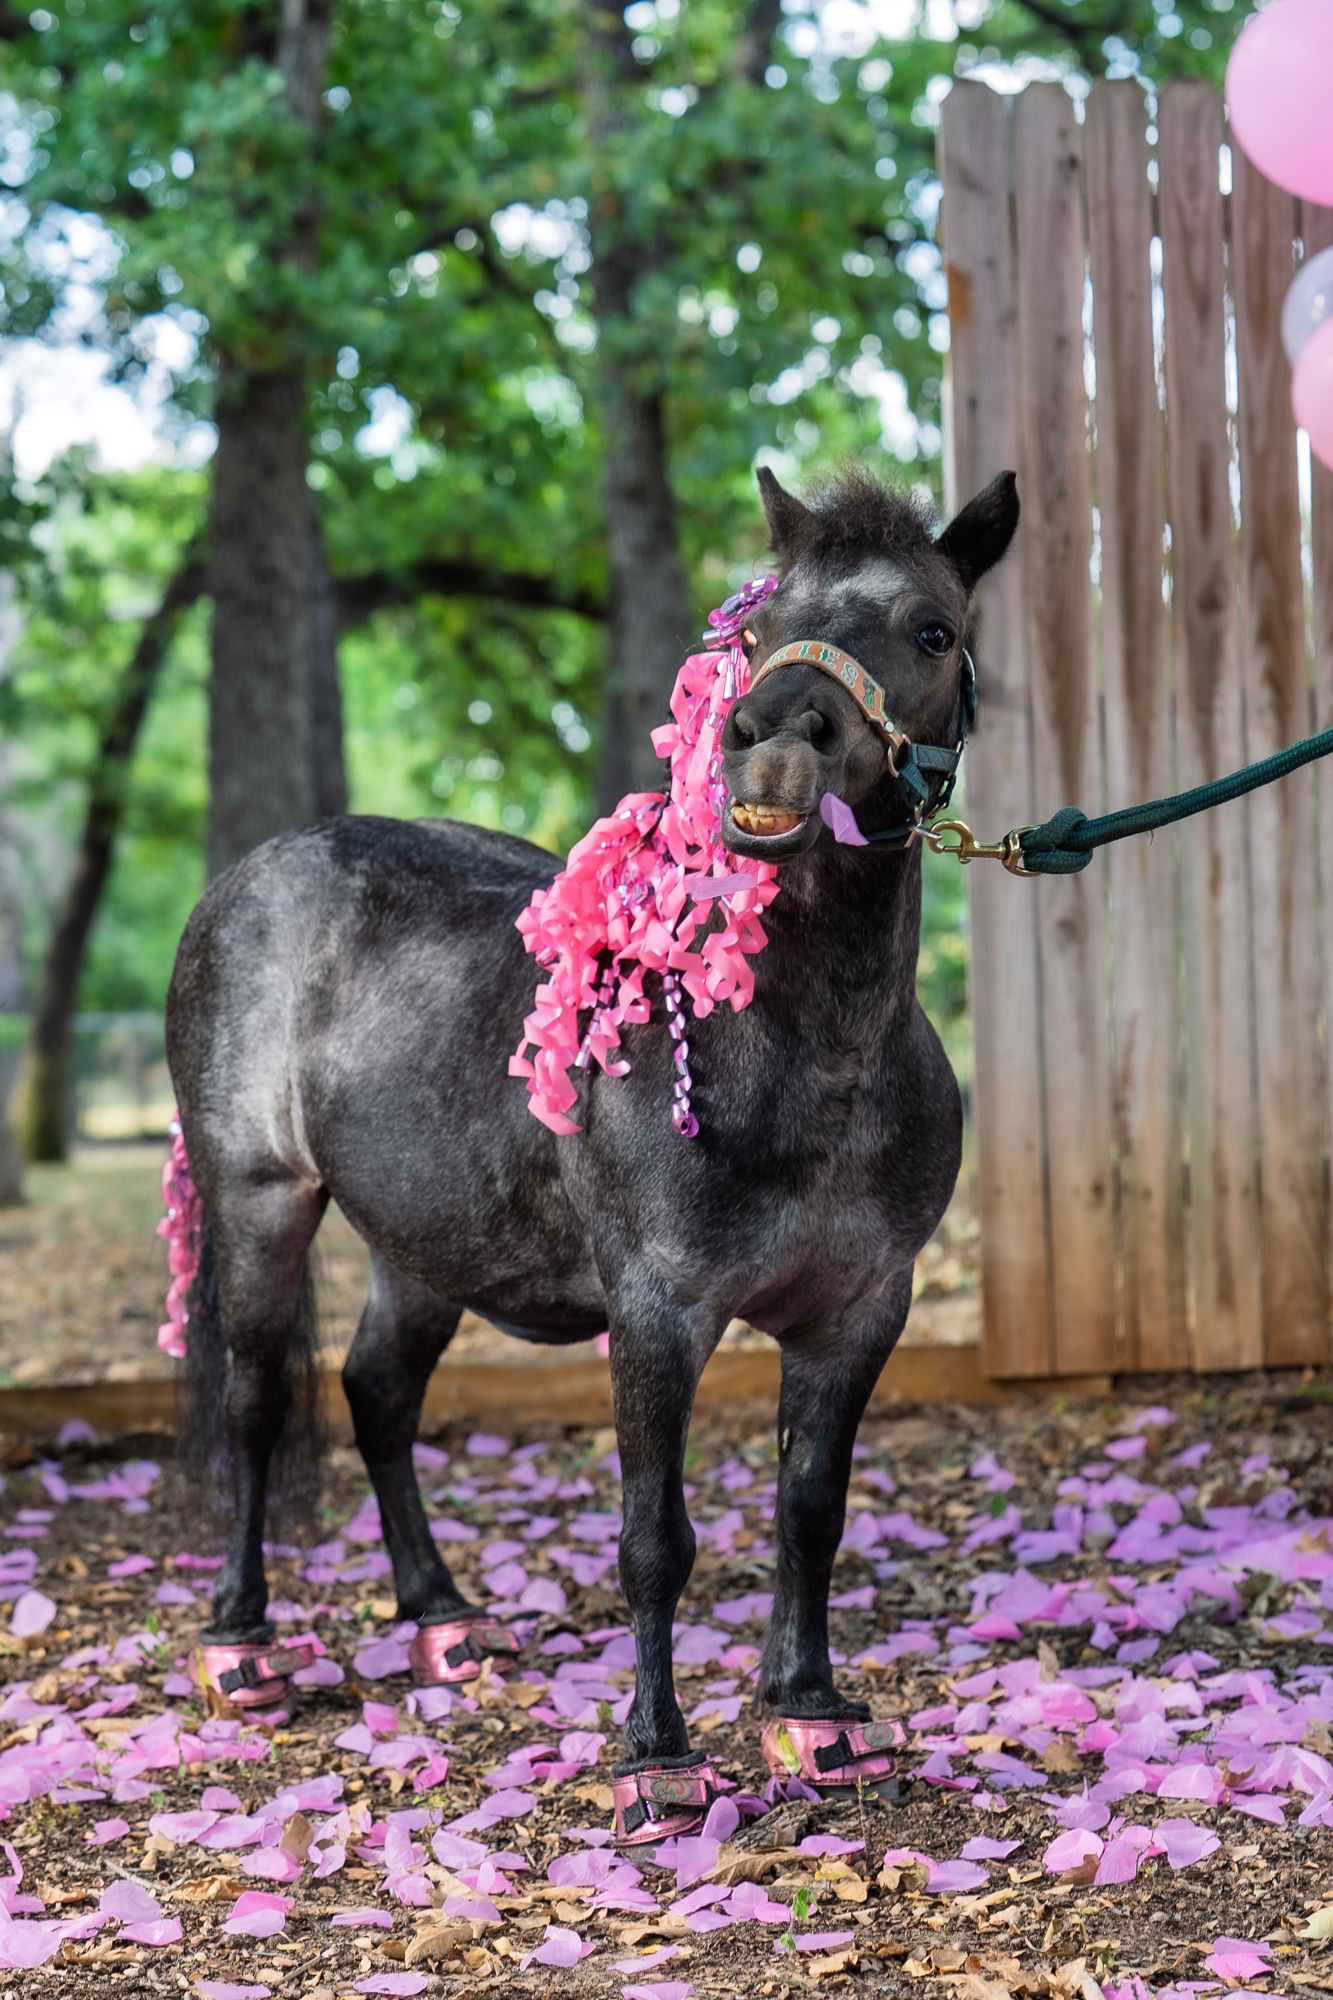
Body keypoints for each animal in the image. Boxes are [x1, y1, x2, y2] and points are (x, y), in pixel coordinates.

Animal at [166, 461, 1019, 1841]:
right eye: (759, 628)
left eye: (933, 629)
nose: (773, 737)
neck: (808, 1047)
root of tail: (248, 875)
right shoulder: (659, 1309)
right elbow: (653, 1537)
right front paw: (657, 1758)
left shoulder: (858, 1310)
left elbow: (810, 1509)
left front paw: (812, 1716)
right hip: (259, 1201)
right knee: (255, 1403)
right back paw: (240, 1646)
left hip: (427, 1241)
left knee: (377, 1390)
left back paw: (443, 1621)